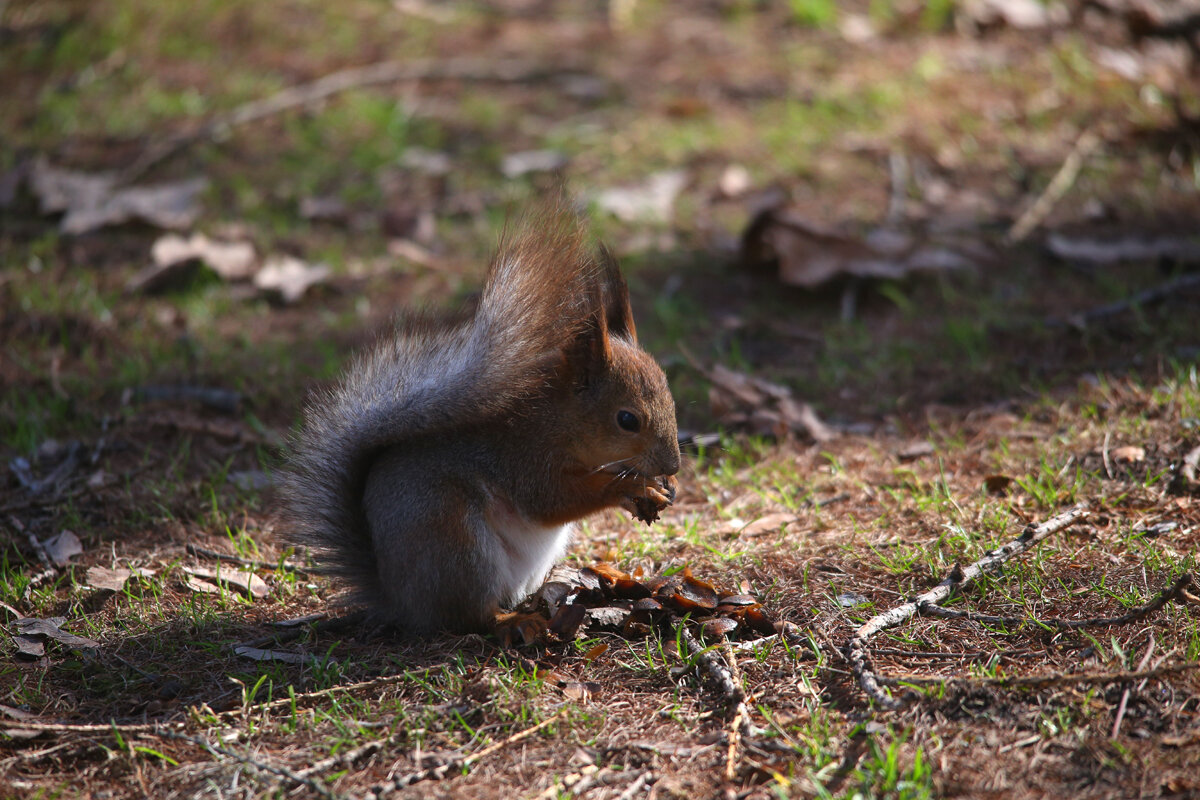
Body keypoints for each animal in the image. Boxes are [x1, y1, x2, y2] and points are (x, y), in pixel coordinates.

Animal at [276, 211, 681, 638]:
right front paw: (631, 487)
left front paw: (664, 486)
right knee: (471, 614)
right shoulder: (526, 458)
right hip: (457, 543)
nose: (673, 465)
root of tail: (401, 602)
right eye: (627, 420)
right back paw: (515, 621)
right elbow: (553, 499)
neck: (562, 423)